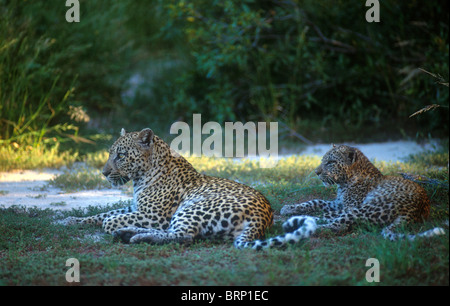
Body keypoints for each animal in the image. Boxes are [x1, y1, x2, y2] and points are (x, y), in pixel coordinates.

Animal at [59, 128, 274, 250]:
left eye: (121, 156)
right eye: (110, 153)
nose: (103, 173)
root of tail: (263, 218)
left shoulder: (154, 215)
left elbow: (109, 220)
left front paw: (111, 225)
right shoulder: (135, 208)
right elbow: (104, 214)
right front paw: (71, 220)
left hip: (193, 208)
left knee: (183, 235)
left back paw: (134, 237)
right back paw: (127, 233)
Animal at [270, 143, 446, 246]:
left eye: (331, 162)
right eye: (322, 160)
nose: (316, 172)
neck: (344, 182)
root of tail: (416, 211)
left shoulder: (349, 206)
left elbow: (324, 211)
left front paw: (290, 213)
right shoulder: (339, 202)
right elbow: (315, 202)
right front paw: (289, 208)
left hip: (366, 208)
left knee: (335, 224)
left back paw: (296, 226)